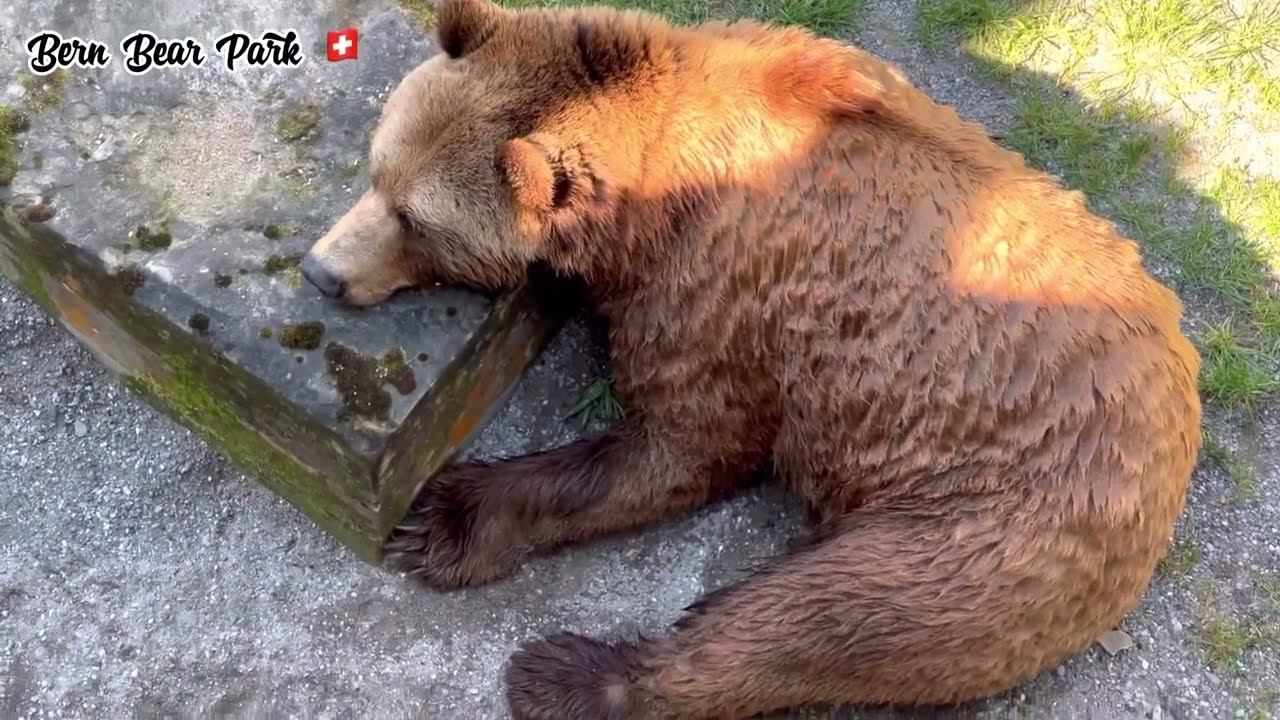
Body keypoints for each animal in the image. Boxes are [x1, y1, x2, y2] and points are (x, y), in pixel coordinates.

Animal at [300, 1, 1204, 718]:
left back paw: (569, 673)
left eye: (419, 221)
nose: (321, 270)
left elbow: (685, 446)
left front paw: (448, 514)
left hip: (1003, 514)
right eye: (377, 171)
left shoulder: (722, 290)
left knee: (833, 614)